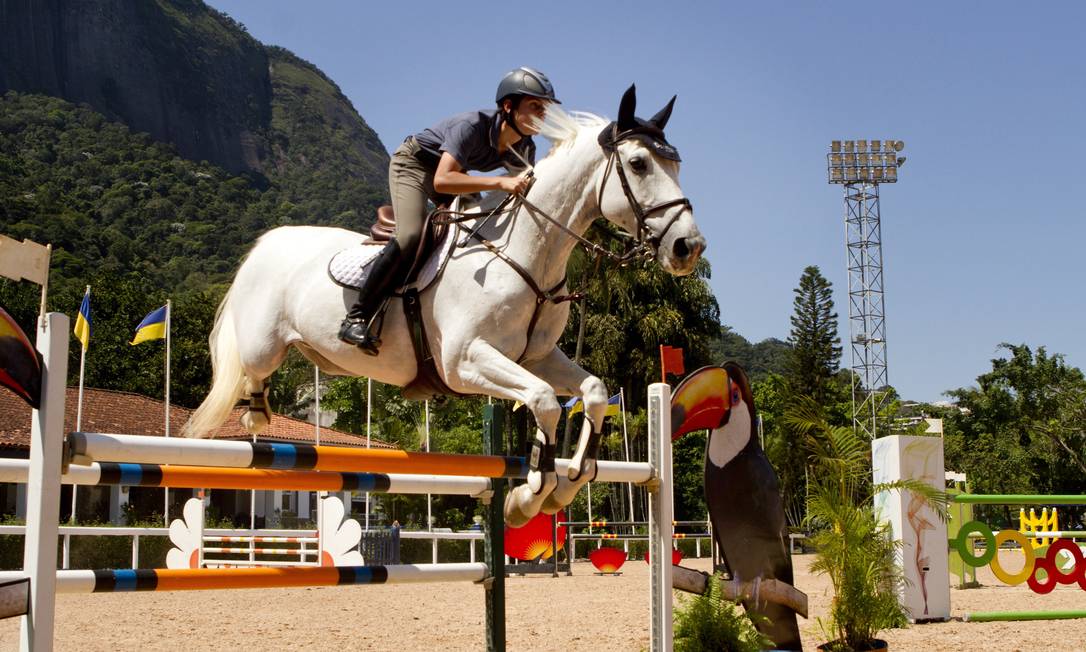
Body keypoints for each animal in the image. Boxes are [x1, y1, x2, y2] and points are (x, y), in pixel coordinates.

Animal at [182, 85, 708, 523]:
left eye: (678, 164)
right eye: (639, 164)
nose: (689, 248)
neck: (525, 251)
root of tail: (268, 242)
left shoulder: (536, 356)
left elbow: (592, 392)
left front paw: (564, 483)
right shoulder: (463, 361)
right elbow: (543, 400)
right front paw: (530, 495)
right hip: (263, 345)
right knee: (251, 372)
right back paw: (256, 415)